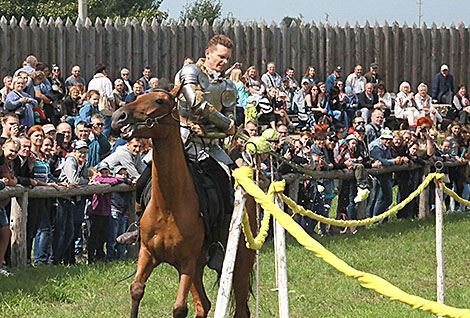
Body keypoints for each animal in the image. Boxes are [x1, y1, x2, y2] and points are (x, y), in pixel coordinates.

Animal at [111, 85, 258, 318]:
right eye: (140, 95)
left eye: (159, 101)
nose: (119, 117)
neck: (168, 206)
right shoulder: (147, 254)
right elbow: (136, 290)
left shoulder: (186, 262)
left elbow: (179, 308)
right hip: (199, 265)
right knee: (203, 305)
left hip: (240, 261)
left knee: (240, 308)